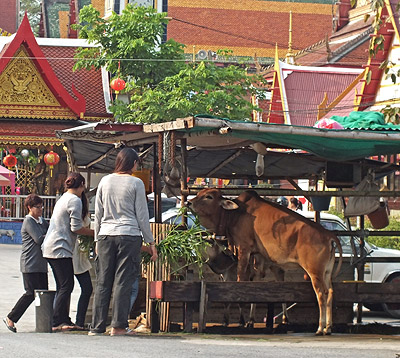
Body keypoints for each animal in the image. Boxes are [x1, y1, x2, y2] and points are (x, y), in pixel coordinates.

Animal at [186, 189, 342, 334]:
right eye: (199, 193)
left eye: (209, 196)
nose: (188, 202)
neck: (235, 214)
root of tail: (329, 235)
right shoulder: (259, 256)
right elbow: (255, 286)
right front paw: (250, 321)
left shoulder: (244, 248)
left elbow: (240, 280)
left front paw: (241, 321)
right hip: (326, 272)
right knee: (330, 292)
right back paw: (328, 328)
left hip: (315, 272)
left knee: (321, 294)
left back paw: (320, 328)